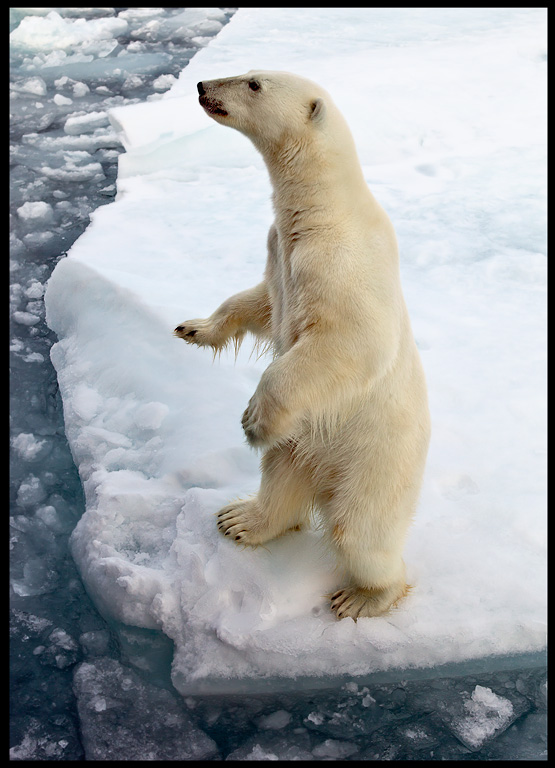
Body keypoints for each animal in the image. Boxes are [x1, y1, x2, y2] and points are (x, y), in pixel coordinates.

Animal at [176, 72, 432, 620]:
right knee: (281, 481)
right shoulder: (281, 252)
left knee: (359, 530)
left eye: (253, 82)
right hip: (302, 445)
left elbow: (351, 340)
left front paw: (254, 418)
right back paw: (240, 519)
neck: (321, 212)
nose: (204, 84)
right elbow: (259, 303)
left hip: (375, 461)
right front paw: (194, 328)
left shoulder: (340, 262)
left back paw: (362, 596)